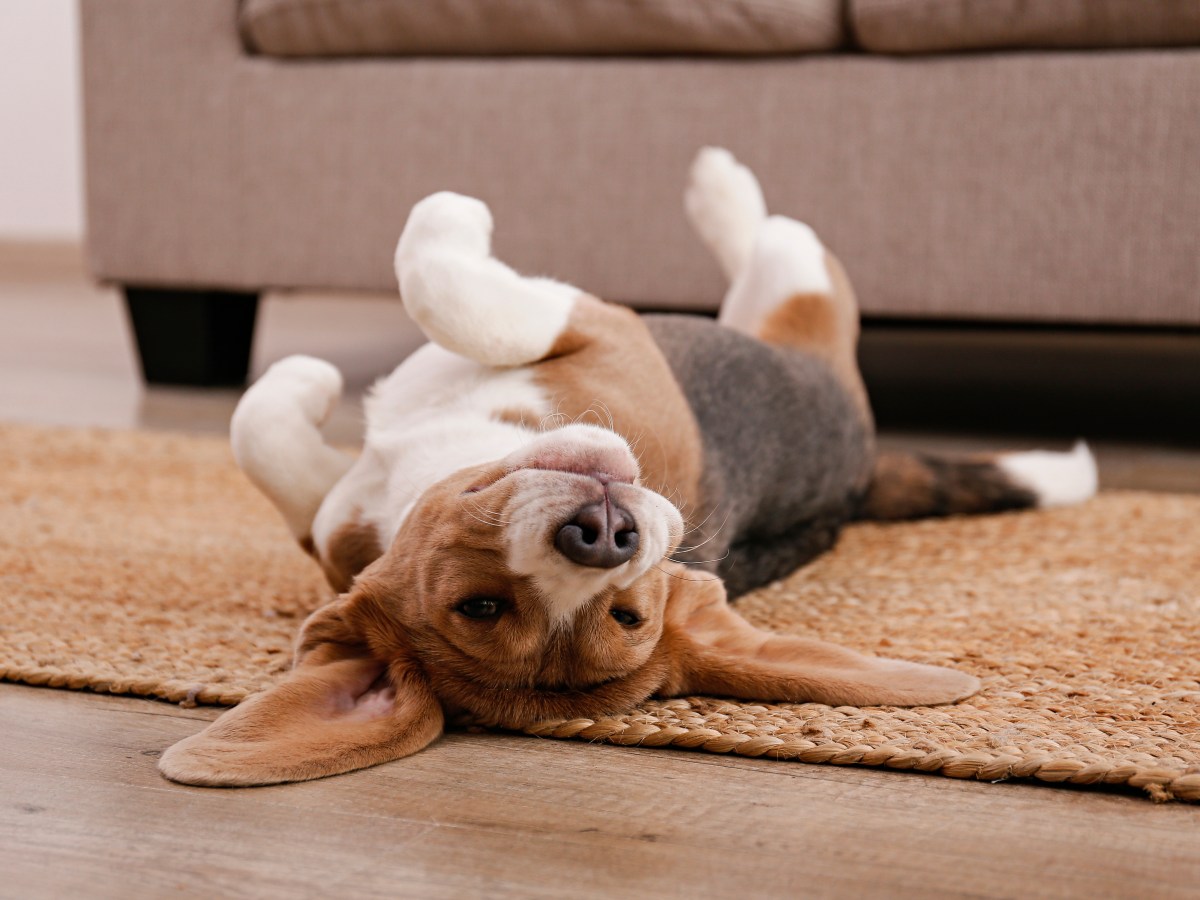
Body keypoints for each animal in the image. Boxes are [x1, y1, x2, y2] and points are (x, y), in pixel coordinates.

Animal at [159, 151, 1099, 787]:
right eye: (481, 607)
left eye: (628, 614)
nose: (604, 534)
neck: (443, 460)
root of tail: (858, 476)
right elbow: (264, 436)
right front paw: (310, 390)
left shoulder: (602, 325)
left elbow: (439, 284)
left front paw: (442, 231)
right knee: (779, 241)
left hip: (798, 304)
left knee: (782, 236)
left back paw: (720, 187)